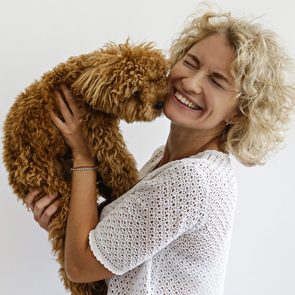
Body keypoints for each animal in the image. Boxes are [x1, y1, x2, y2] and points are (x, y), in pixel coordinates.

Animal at [2, 42, 169, 295]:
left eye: (154, 79)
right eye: (134, 92)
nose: (159, 104)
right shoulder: (99, 131)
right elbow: (119, 165)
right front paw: (130, 187)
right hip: (55, 189)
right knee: (65, 250)